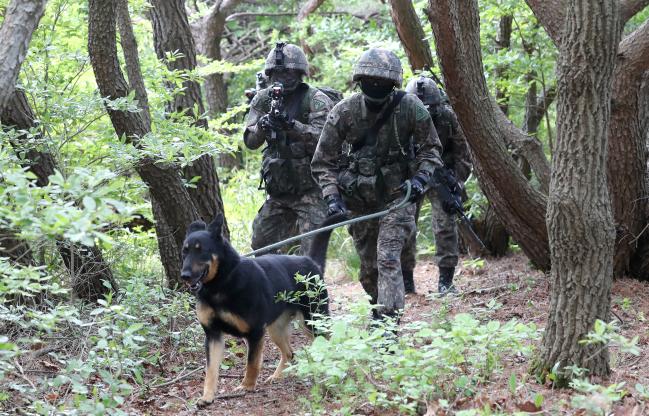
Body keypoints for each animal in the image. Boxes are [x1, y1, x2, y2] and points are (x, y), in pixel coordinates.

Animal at [180, 213, 342, 404]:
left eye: (201, 250)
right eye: (185, 251)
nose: (184, 276)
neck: (222, 283)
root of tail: (310, 262)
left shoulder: (255, 333)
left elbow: (252, 364)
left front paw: (247, 386)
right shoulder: (213, 336)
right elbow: (211, 370)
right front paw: (207, 396)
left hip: (312, 322)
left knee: (328, 341)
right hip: (276, 329)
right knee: (289, 353)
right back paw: (277, 376)